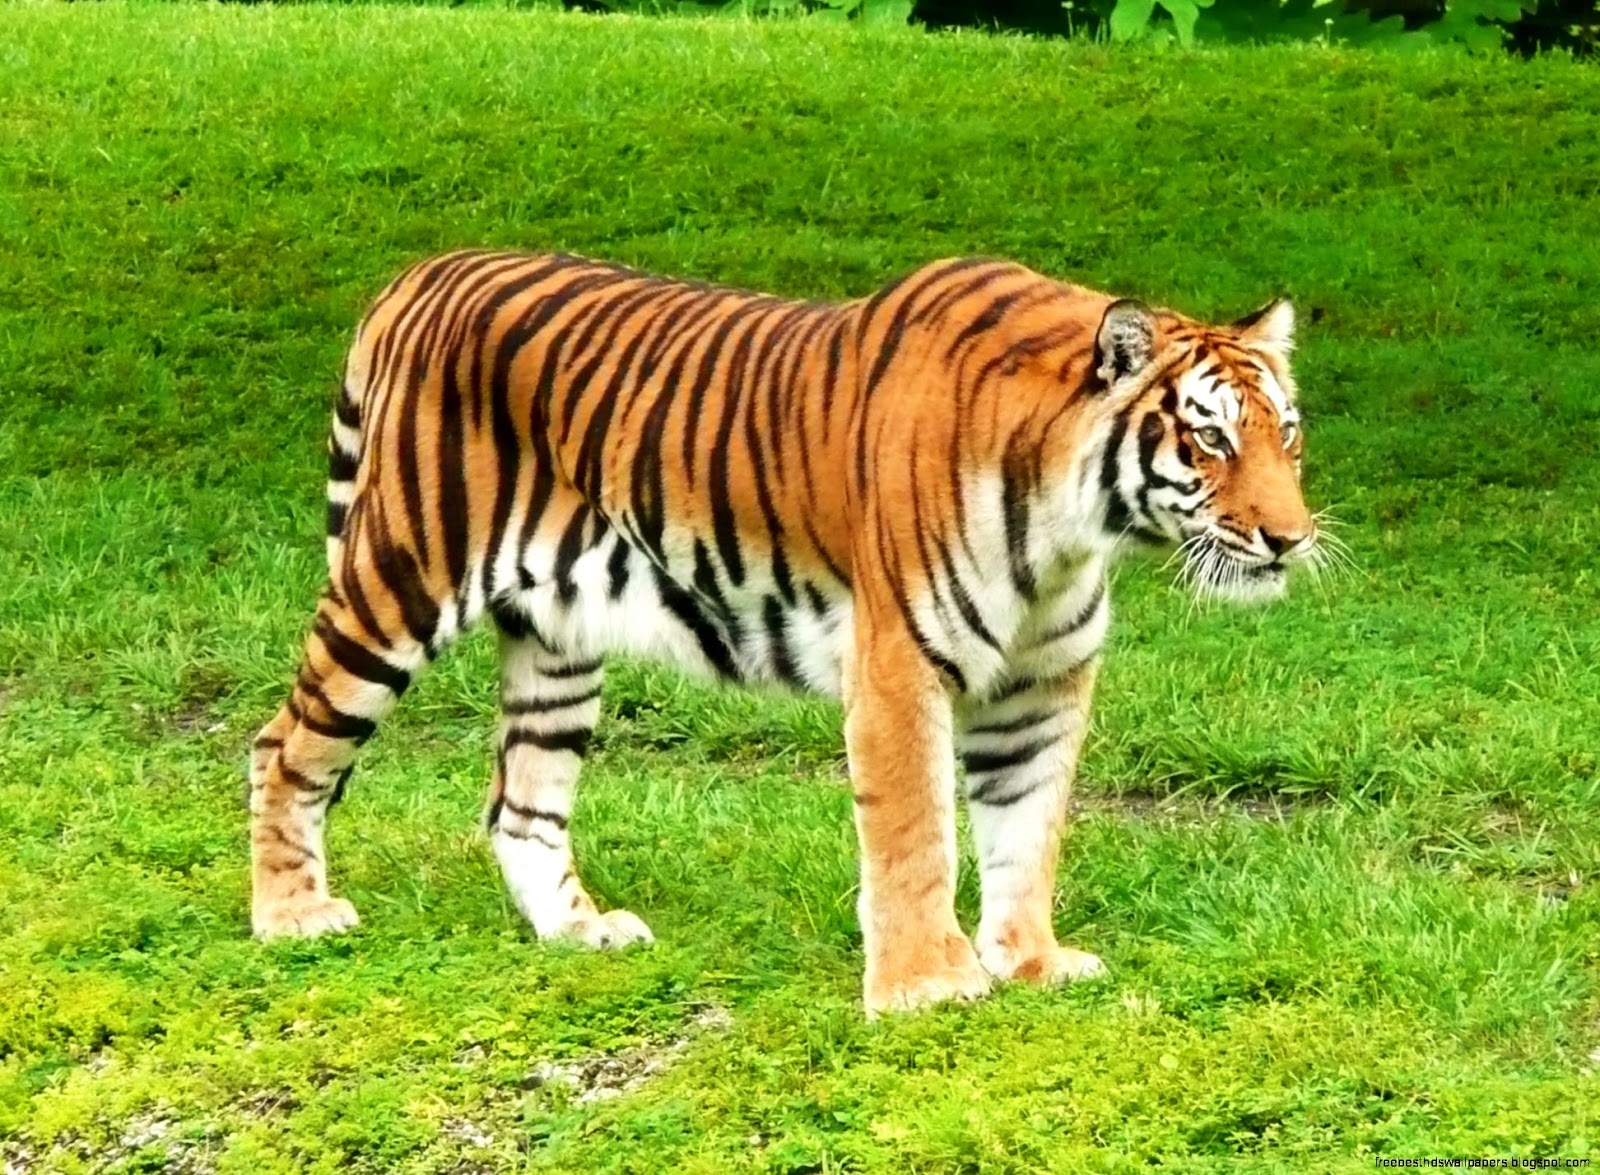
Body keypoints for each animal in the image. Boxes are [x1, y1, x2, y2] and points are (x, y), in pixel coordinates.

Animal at [249, 250, 1318, 1016]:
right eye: (1210, 437)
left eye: (1287, 434)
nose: (1291, 537)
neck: (1072, 525)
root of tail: (418, 275)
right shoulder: (899, 663)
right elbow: (915, 832)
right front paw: (928, 986)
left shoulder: (1041, 683)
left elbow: (1027, 827)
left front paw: (1031, 963)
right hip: (397, 584)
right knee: (284, 745)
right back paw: (292, 916)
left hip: (558, 639)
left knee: (522, 804)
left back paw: (581, 932)